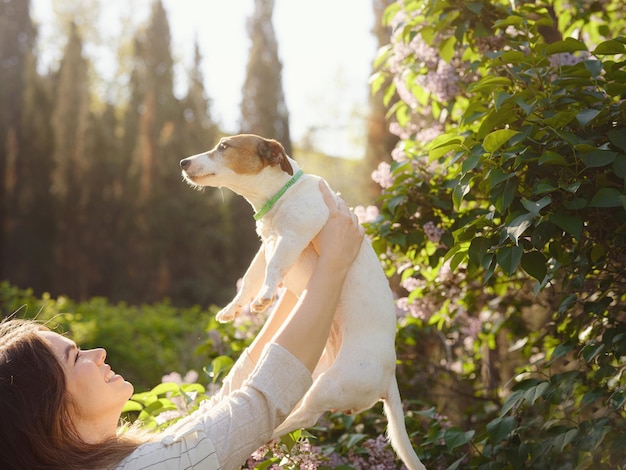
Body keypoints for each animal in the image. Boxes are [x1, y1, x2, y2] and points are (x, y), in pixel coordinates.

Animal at [179, 133, 424, 470]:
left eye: (224, 147)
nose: (183, 162)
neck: (281, 196)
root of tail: (389, 376)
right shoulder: (267, 245)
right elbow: (252, 275)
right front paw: (234, 307)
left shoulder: (292, 237)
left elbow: (272, 268)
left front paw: (265, 296)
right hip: (314, 373)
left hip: (328, 385)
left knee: (306, 416)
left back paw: (270, 432)